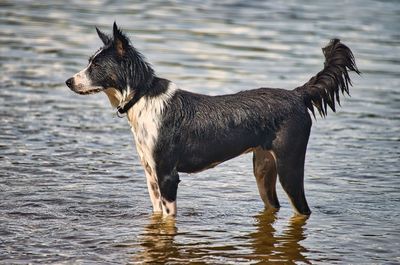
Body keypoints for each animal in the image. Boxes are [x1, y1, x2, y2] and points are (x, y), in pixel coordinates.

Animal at [65, 22, 360, 217]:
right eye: (89, 61)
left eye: (95, 65)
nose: (68, 81)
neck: (142, 96)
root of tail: (297, 94)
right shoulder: (151, 176)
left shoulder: (167, 175)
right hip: (263, 167)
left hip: (290, 165)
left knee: (303, 209)